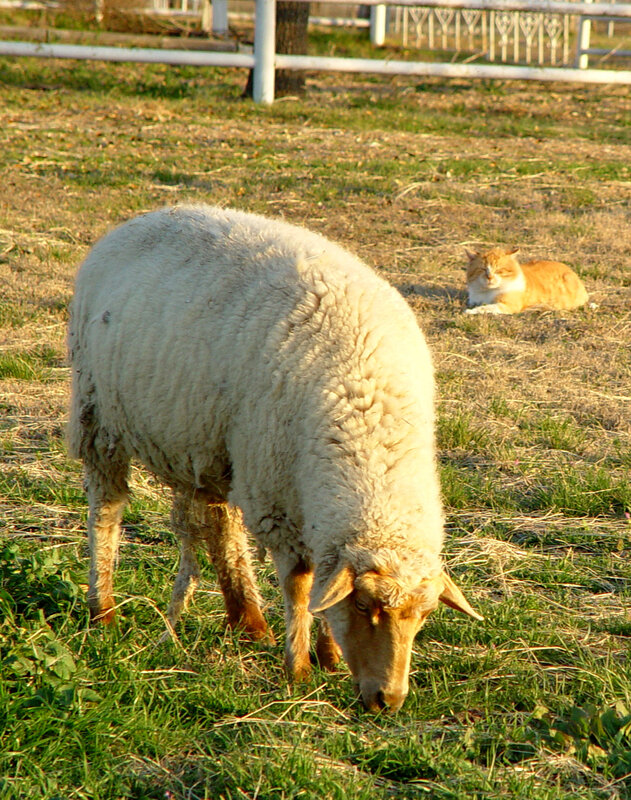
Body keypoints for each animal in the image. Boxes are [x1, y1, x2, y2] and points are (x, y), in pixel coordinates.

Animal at [68, 204, 482, 712]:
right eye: (364, 605)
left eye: (423, 616)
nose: (388, 699)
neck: (369, 413)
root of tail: (143, 218)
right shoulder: (277, 493)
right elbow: (302, 585)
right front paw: (299, 668)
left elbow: (322, 583)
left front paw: (328, 656)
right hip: (99, 415)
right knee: (106, 508)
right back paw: (102, 608)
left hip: (213, 443)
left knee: (219, 524)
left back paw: (247, 619)